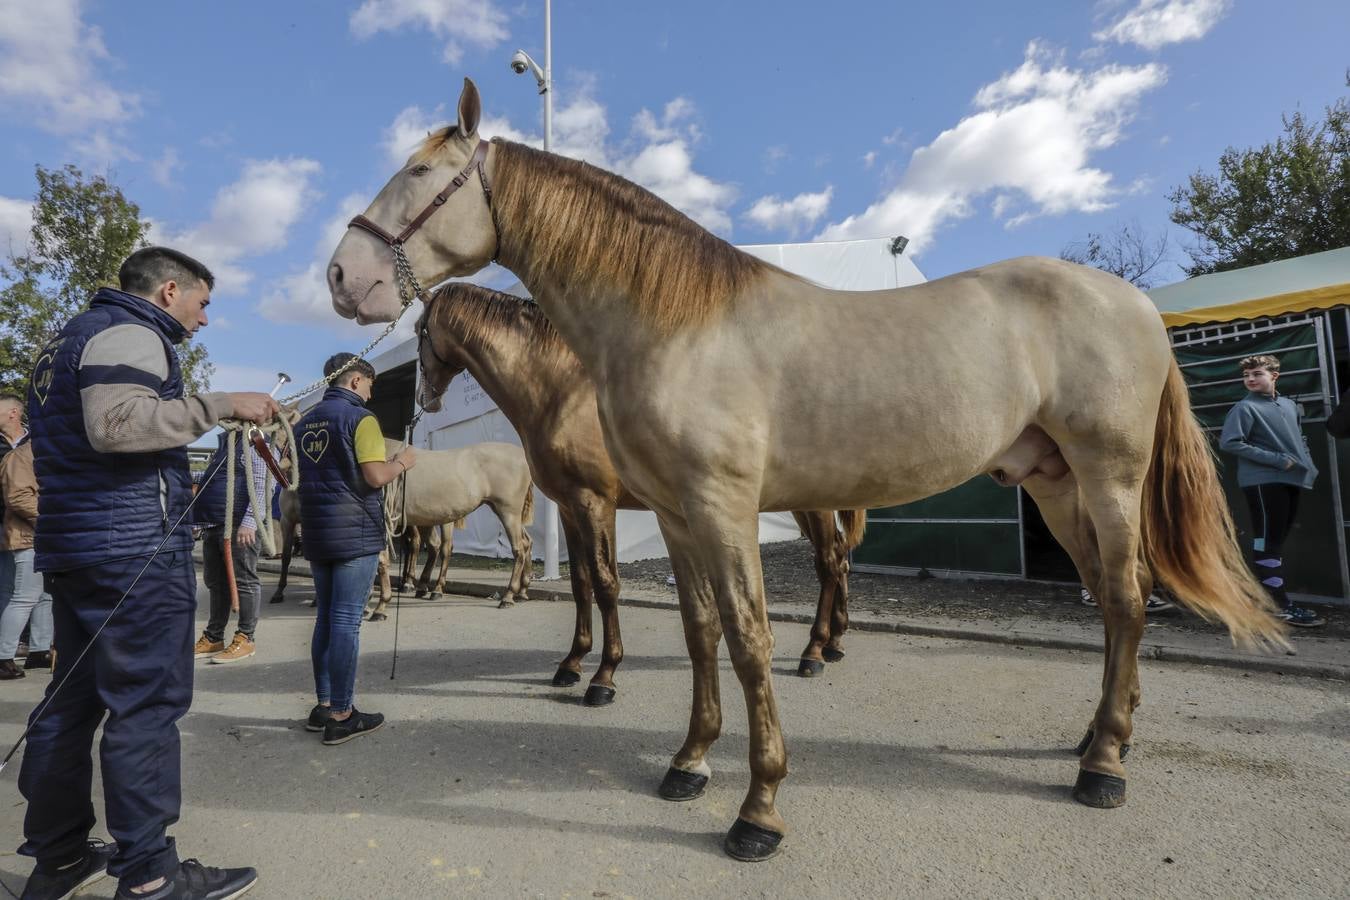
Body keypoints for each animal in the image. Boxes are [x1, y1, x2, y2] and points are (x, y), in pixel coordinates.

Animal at [413, 282, 865, 705]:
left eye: (420, 329)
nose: (424, 399)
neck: (561, 392)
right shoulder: (568, 507)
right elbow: (580, 583)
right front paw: (571, 663)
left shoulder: (596, 503)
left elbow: (606, 583)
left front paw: (603, 677)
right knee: (839, 559)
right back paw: (834, 644)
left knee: (828, 563)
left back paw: (813, 653)